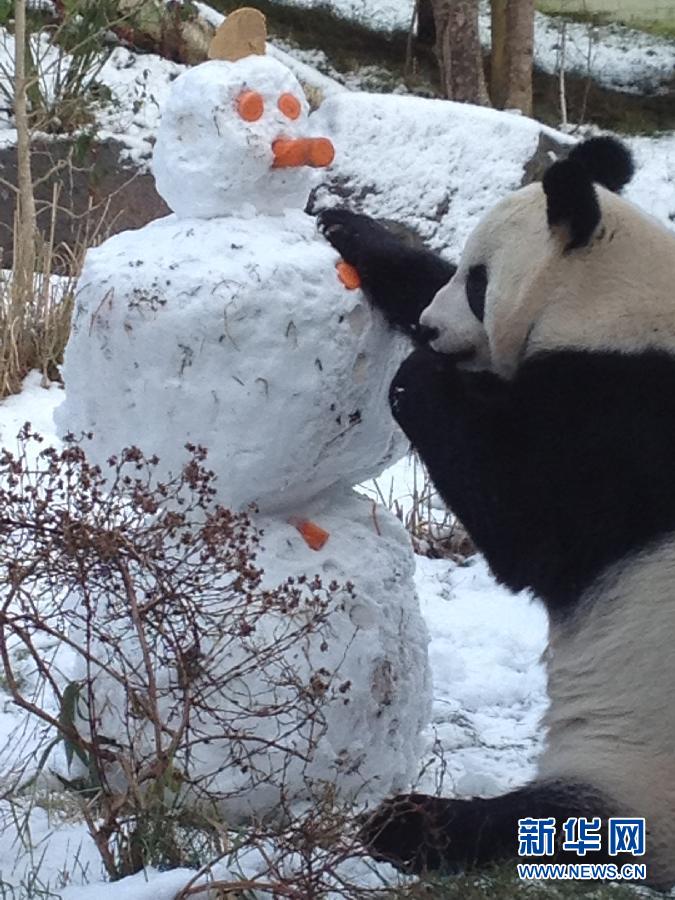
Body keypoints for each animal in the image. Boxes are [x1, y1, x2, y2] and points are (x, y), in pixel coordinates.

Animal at [320, 137, 675, 888]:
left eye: (479, 283)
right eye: (462, 270)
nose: (429, 327)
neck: (617, 305)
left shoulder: (630, 427)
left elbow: (531, 526)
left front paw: (421, 374)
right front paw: (351, 229)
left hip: (637, 761)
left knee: (557, 822)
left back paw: (411, 825)